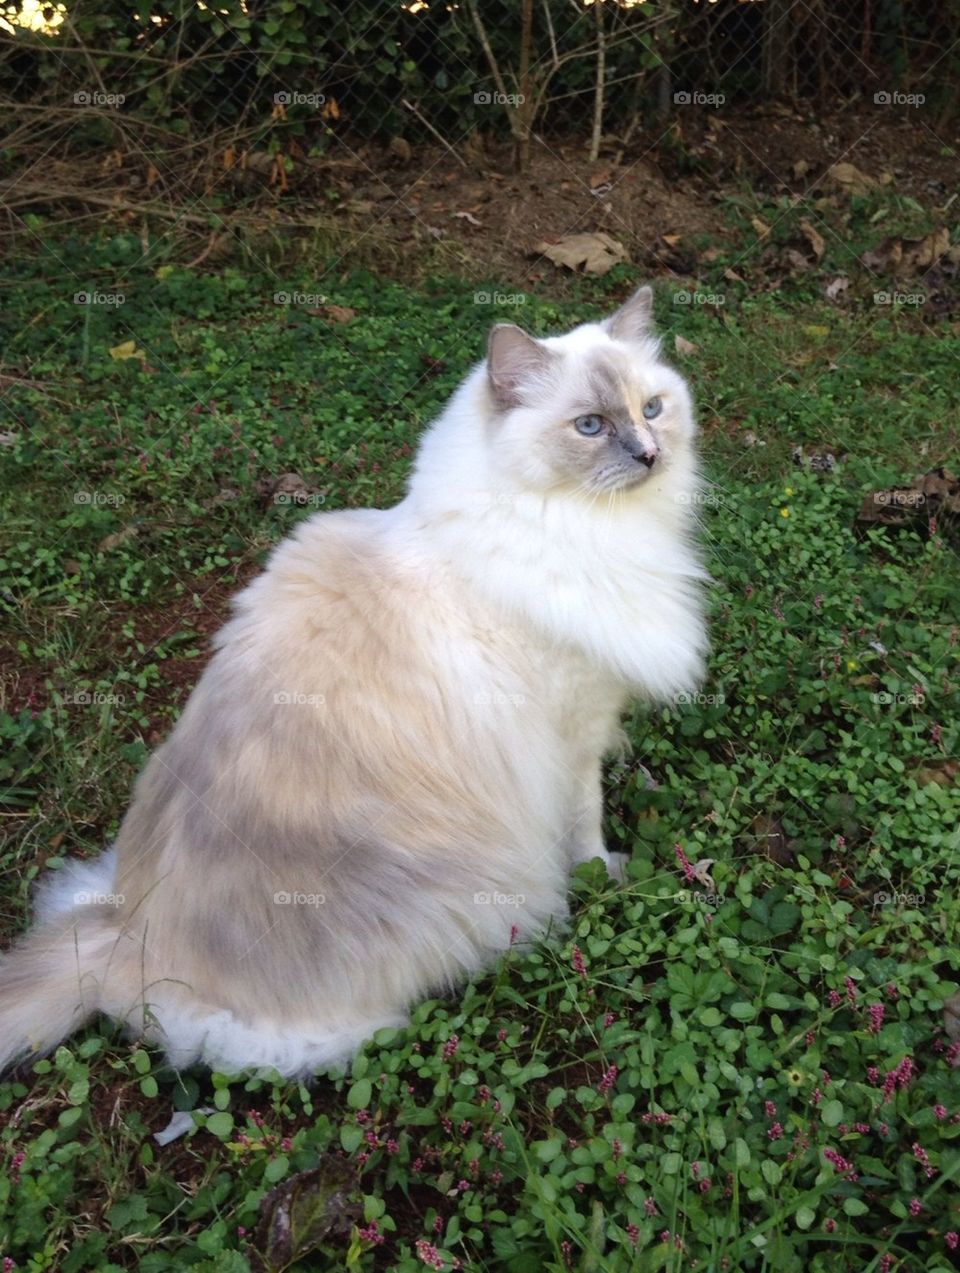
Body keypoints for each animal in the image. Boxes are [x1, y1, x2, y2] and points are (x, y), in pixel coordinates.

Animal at [0, 286, 702, 1074]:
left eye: (652, 408)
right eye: (590, 426)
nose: (649, 454)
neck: (583, 526)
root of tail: (129, 936)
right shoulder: (575, 739)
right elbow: (586, 831)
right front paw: (608, 874)